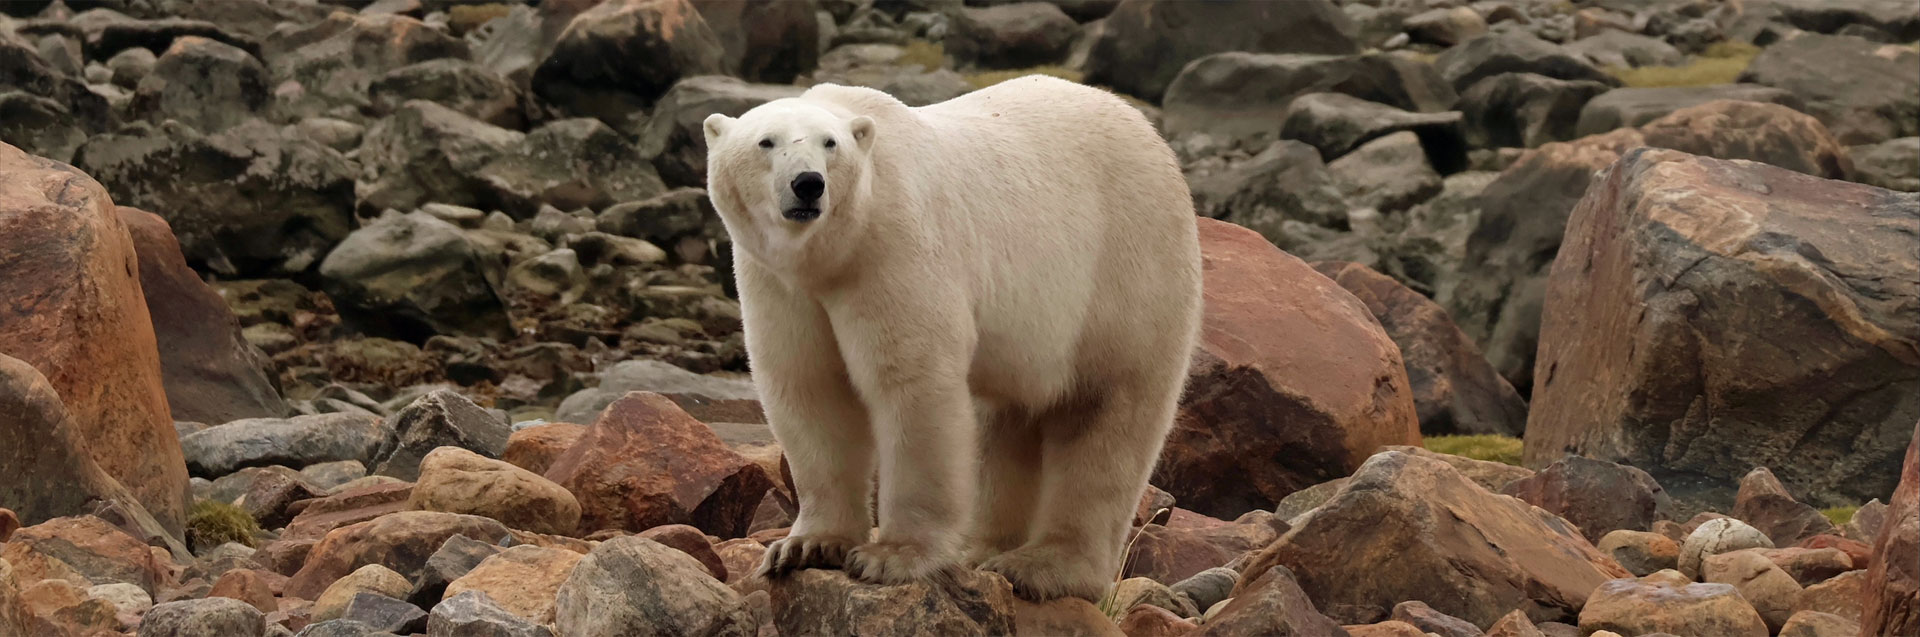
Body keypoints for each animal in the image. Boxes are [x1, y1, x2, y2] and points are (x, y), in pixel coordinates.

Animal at [701, 75, 1203, 602]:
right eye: (766, 142)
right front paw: (805, 547)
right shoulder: (778, 285)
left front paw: (891, 557)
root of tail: (1148, 133)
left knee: (1107, 410)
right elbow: (811, 388)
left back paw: (1042, 566)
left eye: (830, 144)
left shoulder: (894, 250)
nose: (808, 184)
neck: (833, 254)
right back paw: (983, 550)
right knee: (1006, 421)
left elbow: (911, 385)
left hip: (1125, 270)